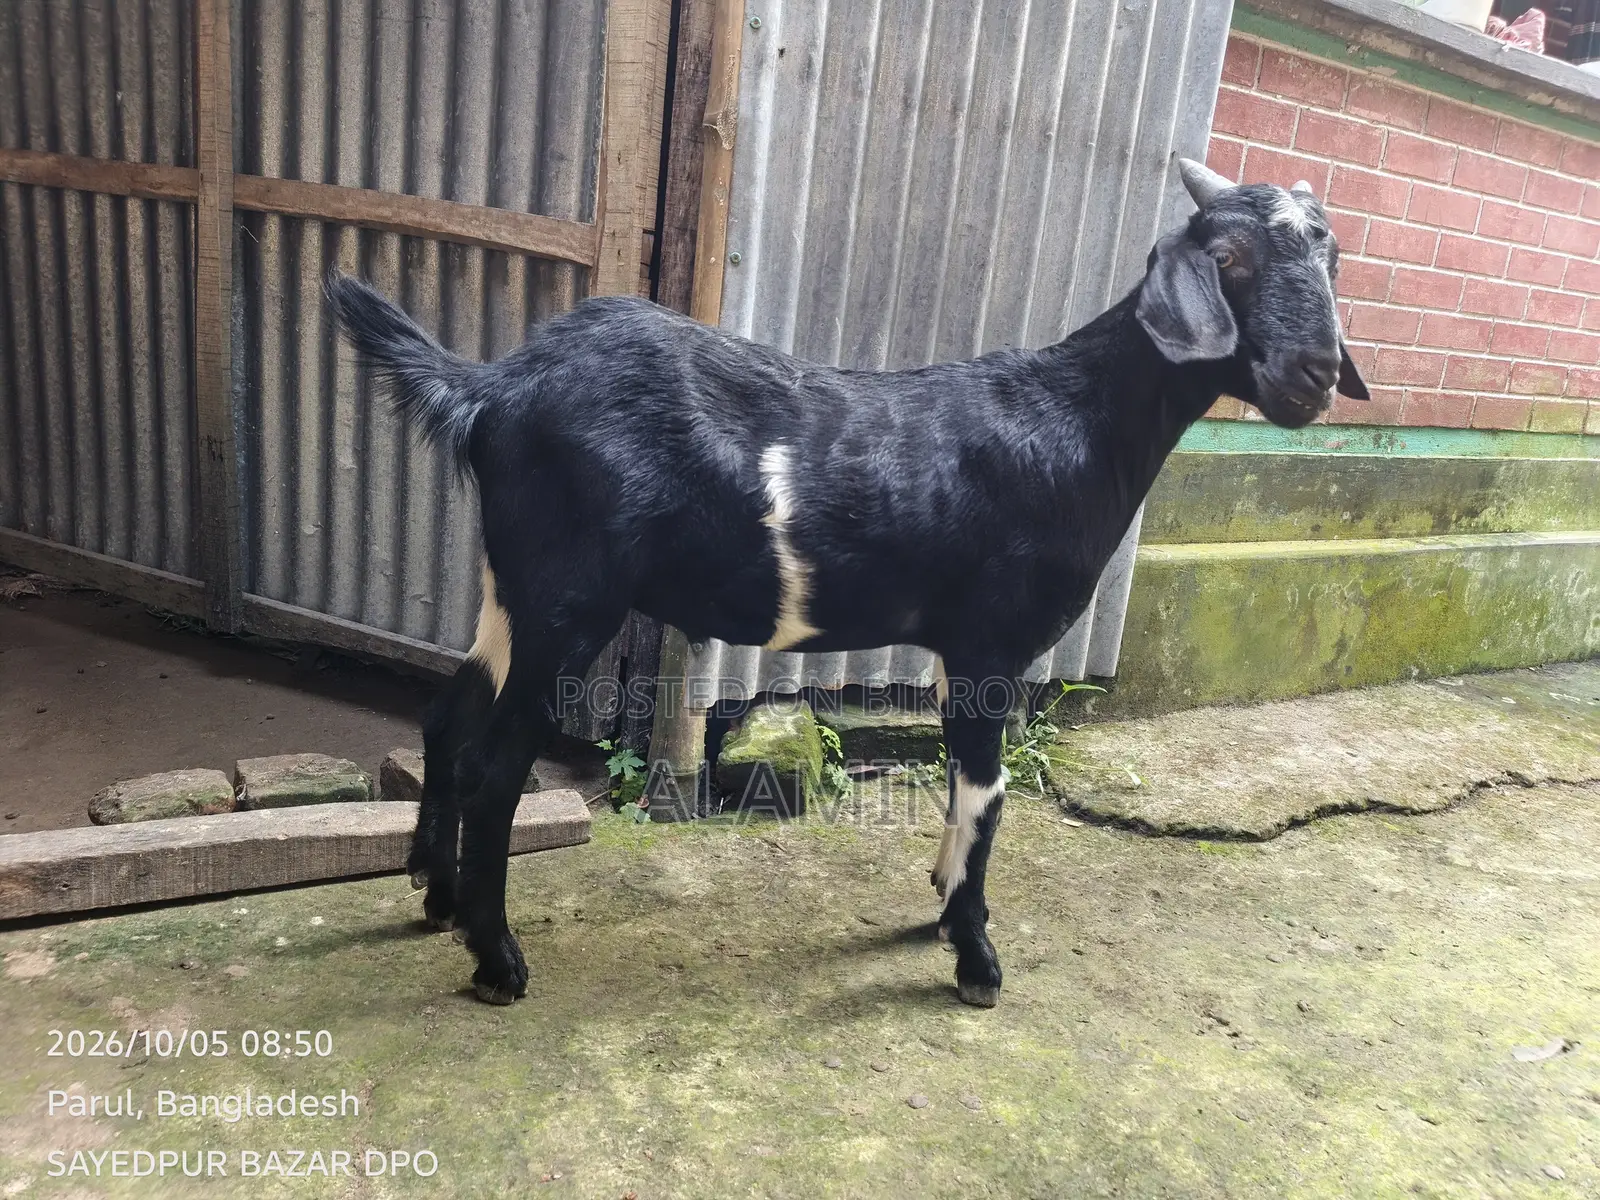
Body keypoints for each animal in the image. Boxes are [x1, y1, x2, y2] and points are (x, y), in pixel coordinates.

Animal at [328, 159, 1369, 1008]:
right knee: (497, 763)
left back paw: (436, 898)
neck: (1077, 424)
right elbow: (988, 793)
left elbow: (962, 786)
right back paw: (497, 961)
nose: (1315, 374)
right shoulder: (993, 641)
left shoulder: (955, 647)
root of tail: (493, 389)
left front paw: (945, 911)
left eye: (1330, 254)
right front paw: (976, 960)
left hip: (512, 592)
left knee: (449, 720)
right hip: (569, 598)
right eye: (1228, 258)